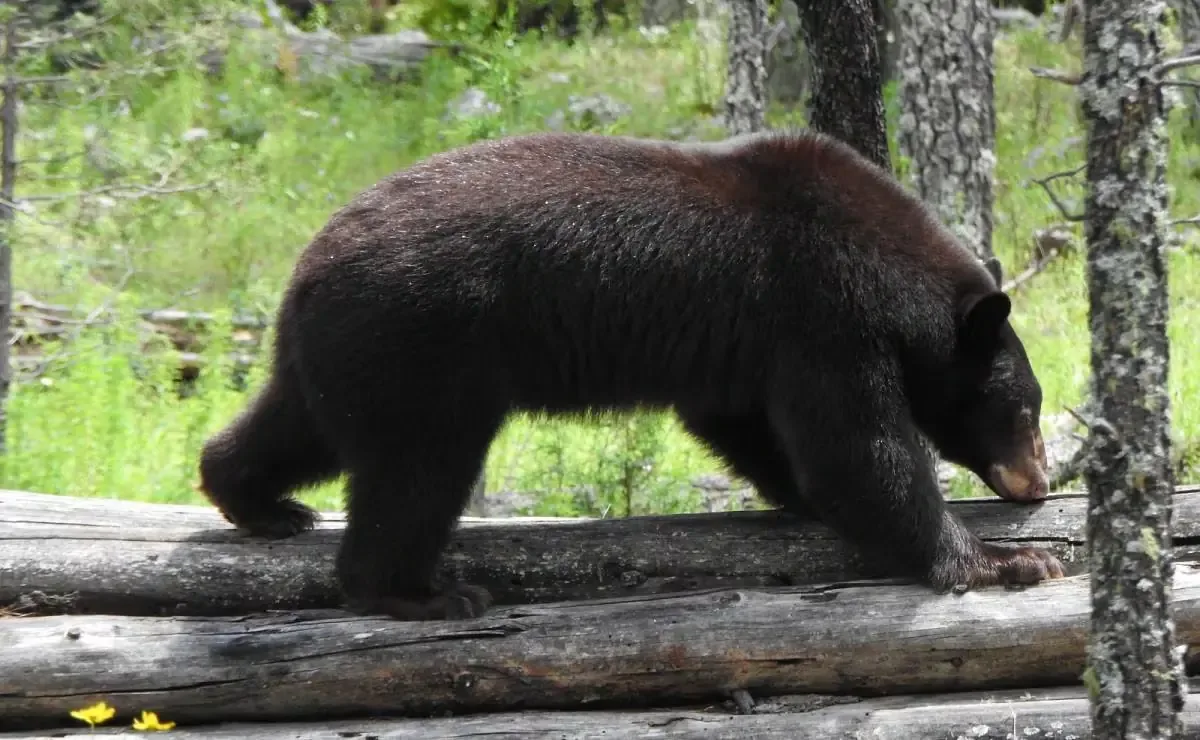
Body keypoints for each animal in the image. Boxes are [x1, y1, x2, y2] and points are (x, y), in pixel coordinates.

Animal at [198, 129, 1065, 621]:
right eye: (1025, 410)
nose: (1038, 483)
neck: (892, 270)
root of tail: (305, 267)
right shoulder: (822, 311)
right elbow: (856, 450)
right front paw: (1008, 561)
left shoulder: (748, 343)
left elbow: (743, 424)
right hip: (424, 343)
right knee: (418, 470)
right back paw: (419, 592)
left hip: (345, 353)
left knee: (297, 425)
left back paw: (259, 501)